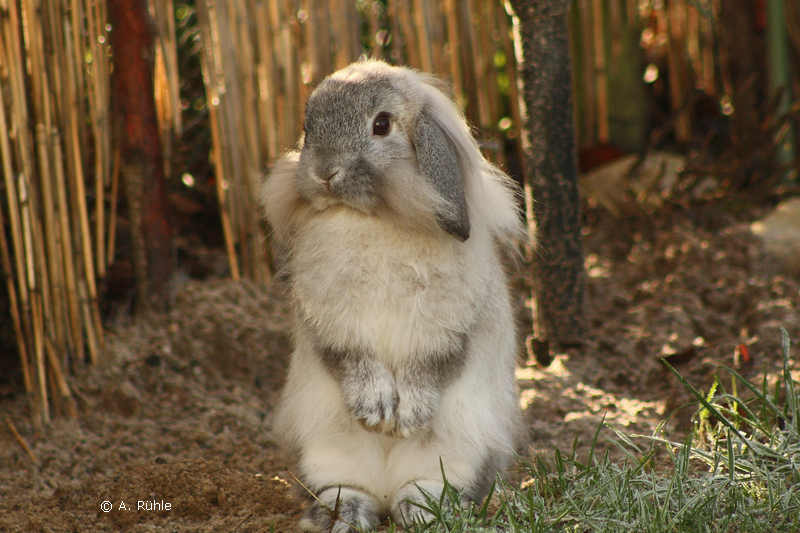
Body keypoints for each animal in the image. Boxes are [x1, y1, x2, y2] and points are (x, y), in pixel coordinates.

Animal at [261, 60, 525, 532]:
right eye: (307, 129)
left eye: (381, 124)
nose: (324, 172)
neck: (377, 217)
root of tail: (385, 491)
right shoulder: (331, 324)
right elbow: (353, 361)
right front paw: (376, 410)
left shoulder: (449, 327)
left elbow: (430, 368)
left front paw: (407, 417)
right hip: (323, 450)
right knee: (344, 488)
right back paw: (345, 516)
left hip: (461, 451)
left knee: (427, 487)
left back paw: (421, 512)